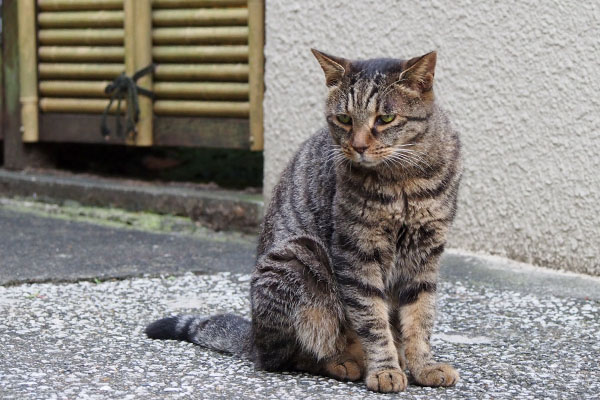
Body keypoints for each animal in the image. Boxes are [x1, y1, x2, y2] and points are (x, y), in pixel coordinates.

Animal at [146, 48, 464, 392]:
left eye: (385, 119)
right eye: (344, 119)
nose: (359, 146)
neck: (403, 182)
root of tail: (253, 337)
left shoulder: (426, 254)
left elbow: (420, 317)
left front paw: (423, 365)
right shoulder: (357, 253)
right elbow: (373, 320)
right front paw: (384, 369)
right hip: (301, 256)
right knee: (288, 356)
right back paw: (344, 362)